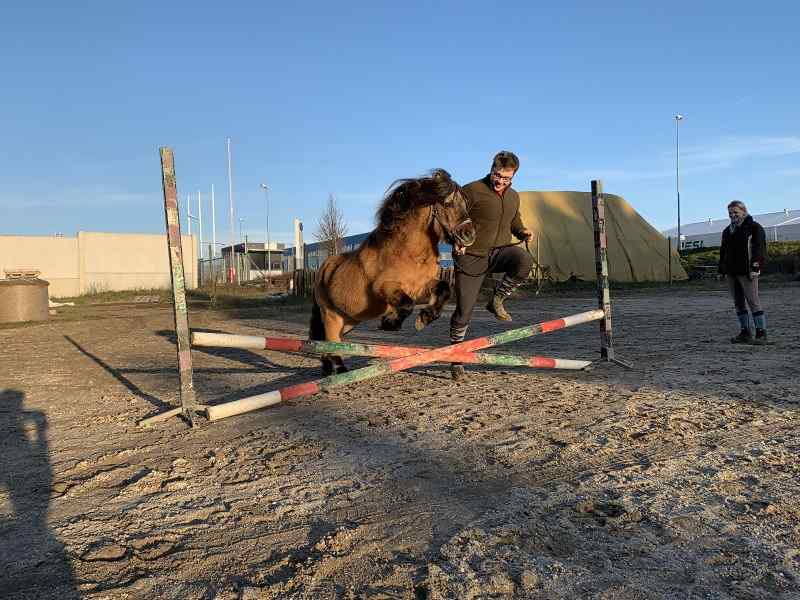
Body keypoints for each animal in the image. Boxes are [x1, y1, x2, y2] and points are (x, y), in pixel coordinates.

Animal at [310, 169, 476, 372]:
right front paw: (390, 323)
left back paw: (328, 368)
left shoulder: (421, 286)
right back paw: (338, 370)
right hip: (331, 317)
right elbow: (407, 304)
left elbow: (443, 289)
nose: (469, 235)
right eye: (447, 203)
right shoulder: (383, 288)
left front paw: (424, 318)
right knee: (331, 344)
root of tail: (323, 269)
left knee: (328, 345)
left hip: (348, 320)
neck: (408, 253)